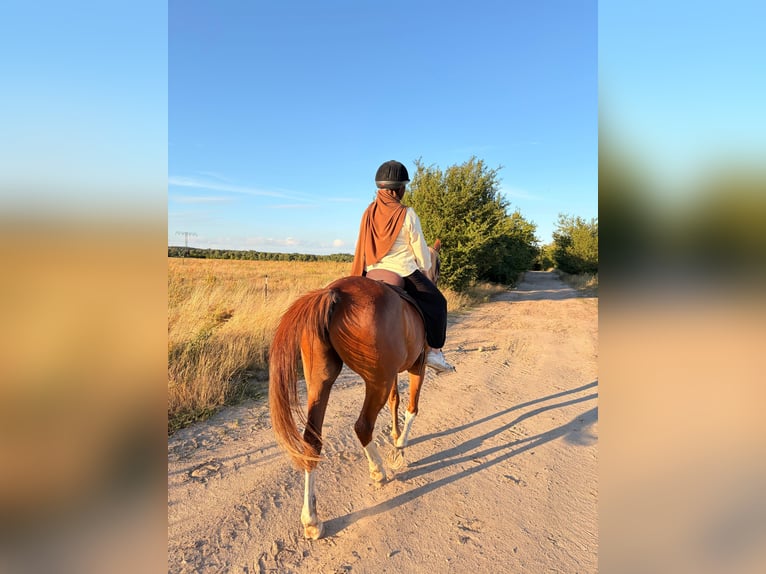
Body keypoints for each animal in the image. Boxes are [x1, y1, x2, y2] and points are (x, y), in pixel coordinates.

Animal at [269, 243, 442, 539]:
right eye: (438, 264)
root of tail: (335, 294)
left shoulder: (393, 373)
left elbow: (395, 402)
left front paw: (395, 437)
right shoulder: (416, 366)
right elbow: (411, 408)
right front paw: (399, 449)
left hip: (322, 380)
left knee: (312, 440)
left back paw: (311, 520)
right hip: (376, 381)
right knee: (363, 426)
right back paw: (378, 471)